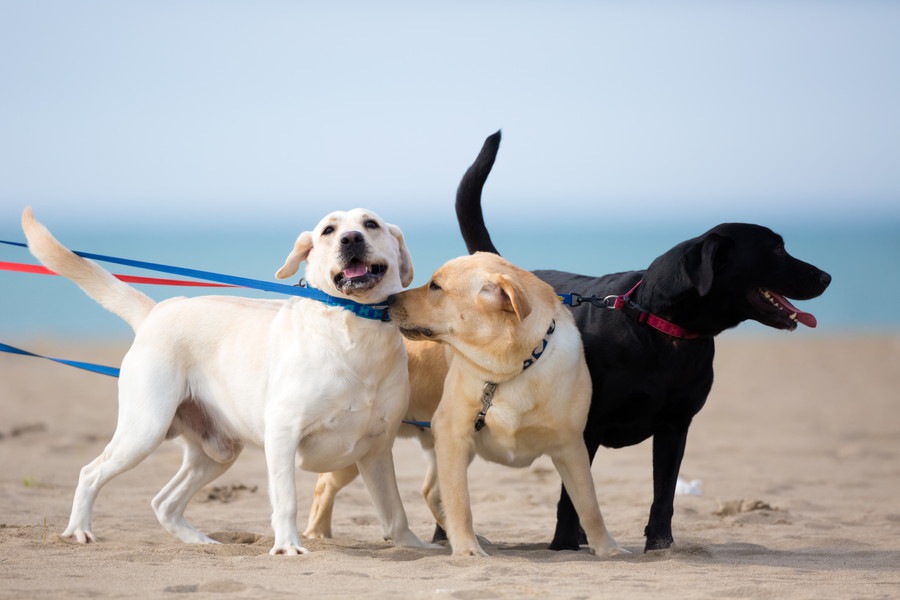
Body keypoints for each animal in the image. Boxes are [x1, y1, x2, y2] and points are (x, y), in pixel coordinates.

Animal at [21, 205, 428, 552]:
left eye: (370, 224)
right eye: (329, 231)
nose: (351, 239)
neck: (355, 328)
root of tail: (158, 310)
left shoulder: (377, 449)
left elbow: (394, 510)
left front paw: (415, 546)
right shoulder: (282, 433)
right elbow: (286, 500)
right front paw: (287, 546)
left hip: (216, 452)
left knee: (164, 501)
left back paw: (200, 542)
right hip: (145, 429)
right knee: (90, 473)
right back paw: (79, 530)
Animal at [454, 132, 832, 552]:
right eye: (777, 248)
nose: (827, 277)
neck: (660, 328)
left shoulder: (675, 426)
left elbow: (663, 495)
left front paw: (660, 546)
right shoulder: (584, 430)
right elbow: (572, 499)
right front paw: (564, 545)